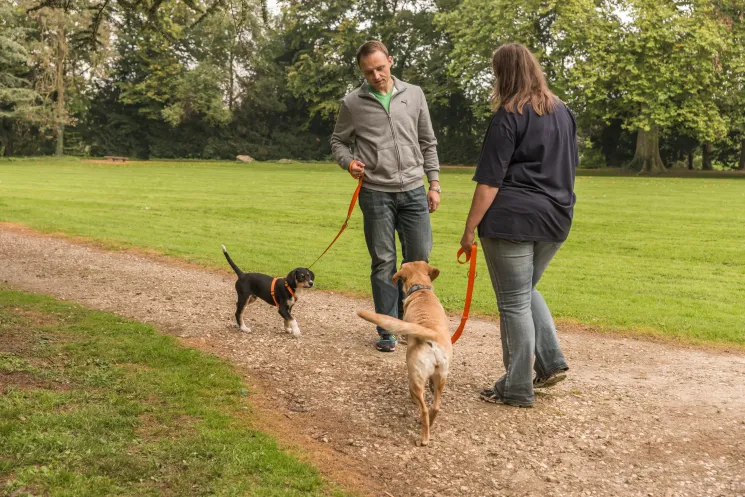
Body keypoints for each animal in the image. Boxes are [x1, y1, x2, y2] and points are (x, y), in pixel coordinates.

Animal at [356, 260, 454, 446]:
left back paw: (423, 438)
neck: (421, 290)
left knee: (423, 408)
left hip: (415, 376)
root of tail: (431, 335)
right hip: (442, 377)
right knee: (435, 407)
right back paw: (430, 423)